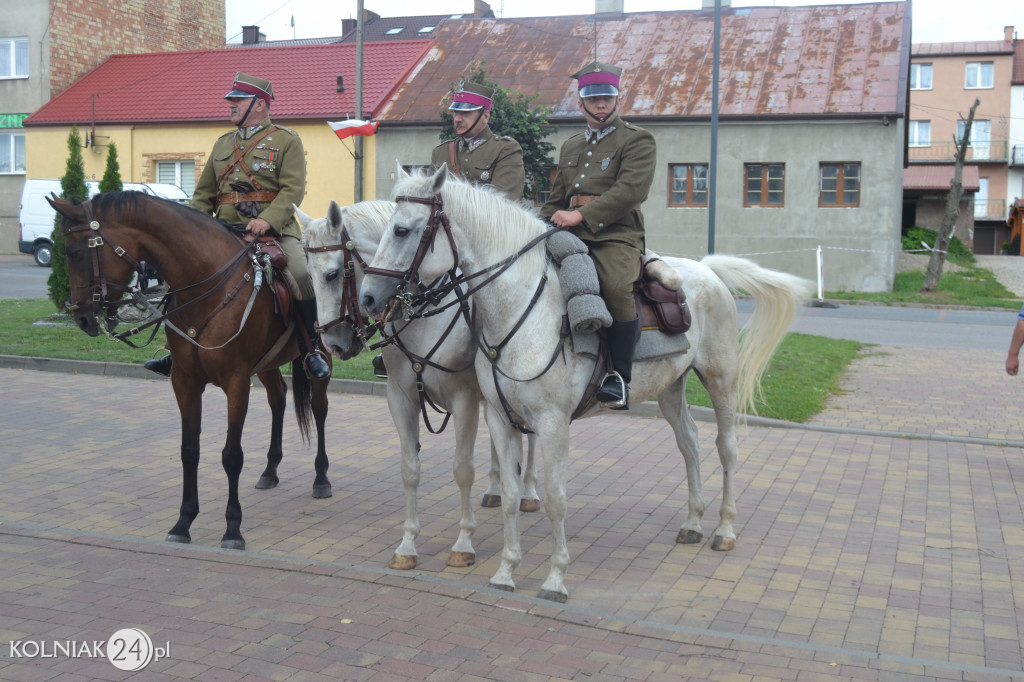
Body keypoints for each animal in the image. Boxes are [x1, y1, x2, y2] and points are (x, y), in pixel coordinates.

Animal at [49, 189, 329, 548]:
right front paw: (183, 522)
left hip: (321, 353)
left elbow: (231, 455)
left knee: (319, 408)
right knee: (278, 399)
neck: (206, 287)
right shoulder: (185, 381)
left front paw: (233, 527)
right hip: (267, 362)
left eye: (73, 252)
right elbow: (189, 450)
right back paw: (270, 471)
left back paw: (321, 478)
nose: (82, 318)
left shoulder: (237, 382)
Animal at [299, 200, 540, 569]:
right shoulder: (400, 399)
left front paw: (463, 543)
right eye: (308, 275)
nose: (334, 345)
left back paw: (527, 492)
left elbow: (462, 470)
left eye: (332, 274)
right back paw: (496, 489)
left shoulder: (464, 399)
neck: (424, 311)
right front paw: (407, 545)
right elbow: (410, 469)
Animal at [362, 165, 815, 602]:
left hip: (722, 380)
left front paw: (555, 579)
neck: (519, 309)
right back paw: (693, 523)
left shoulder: (551, 423)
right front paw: (506, 571)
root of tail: (706, 269)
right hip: (671, 387)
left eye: (401, 230)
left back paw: (724, 530)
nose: (368, 297)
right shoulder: (499, 419)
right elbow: (508, 495)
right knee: (689, 444)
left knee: (727, 449)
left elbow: (556, 499)